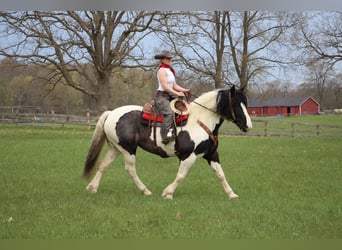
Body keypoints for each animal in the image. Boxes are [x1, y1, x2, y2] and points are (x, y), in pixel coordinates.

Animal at [83, 86, 251, 199]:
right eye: (236, 104)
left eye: (245, 103)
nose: (248, 125)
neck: (200, 120)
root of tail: (111, 113)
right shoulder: (188, 156)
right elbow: (181, 175)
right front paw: (168, 193)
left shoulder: (211, 154)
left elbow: (220, 174)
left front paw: (232, 194)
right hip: (128, 149)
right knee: (130, 169)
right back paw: (145, 191)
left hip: (116, 148)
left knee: (103, 165)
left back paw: (92, 187)